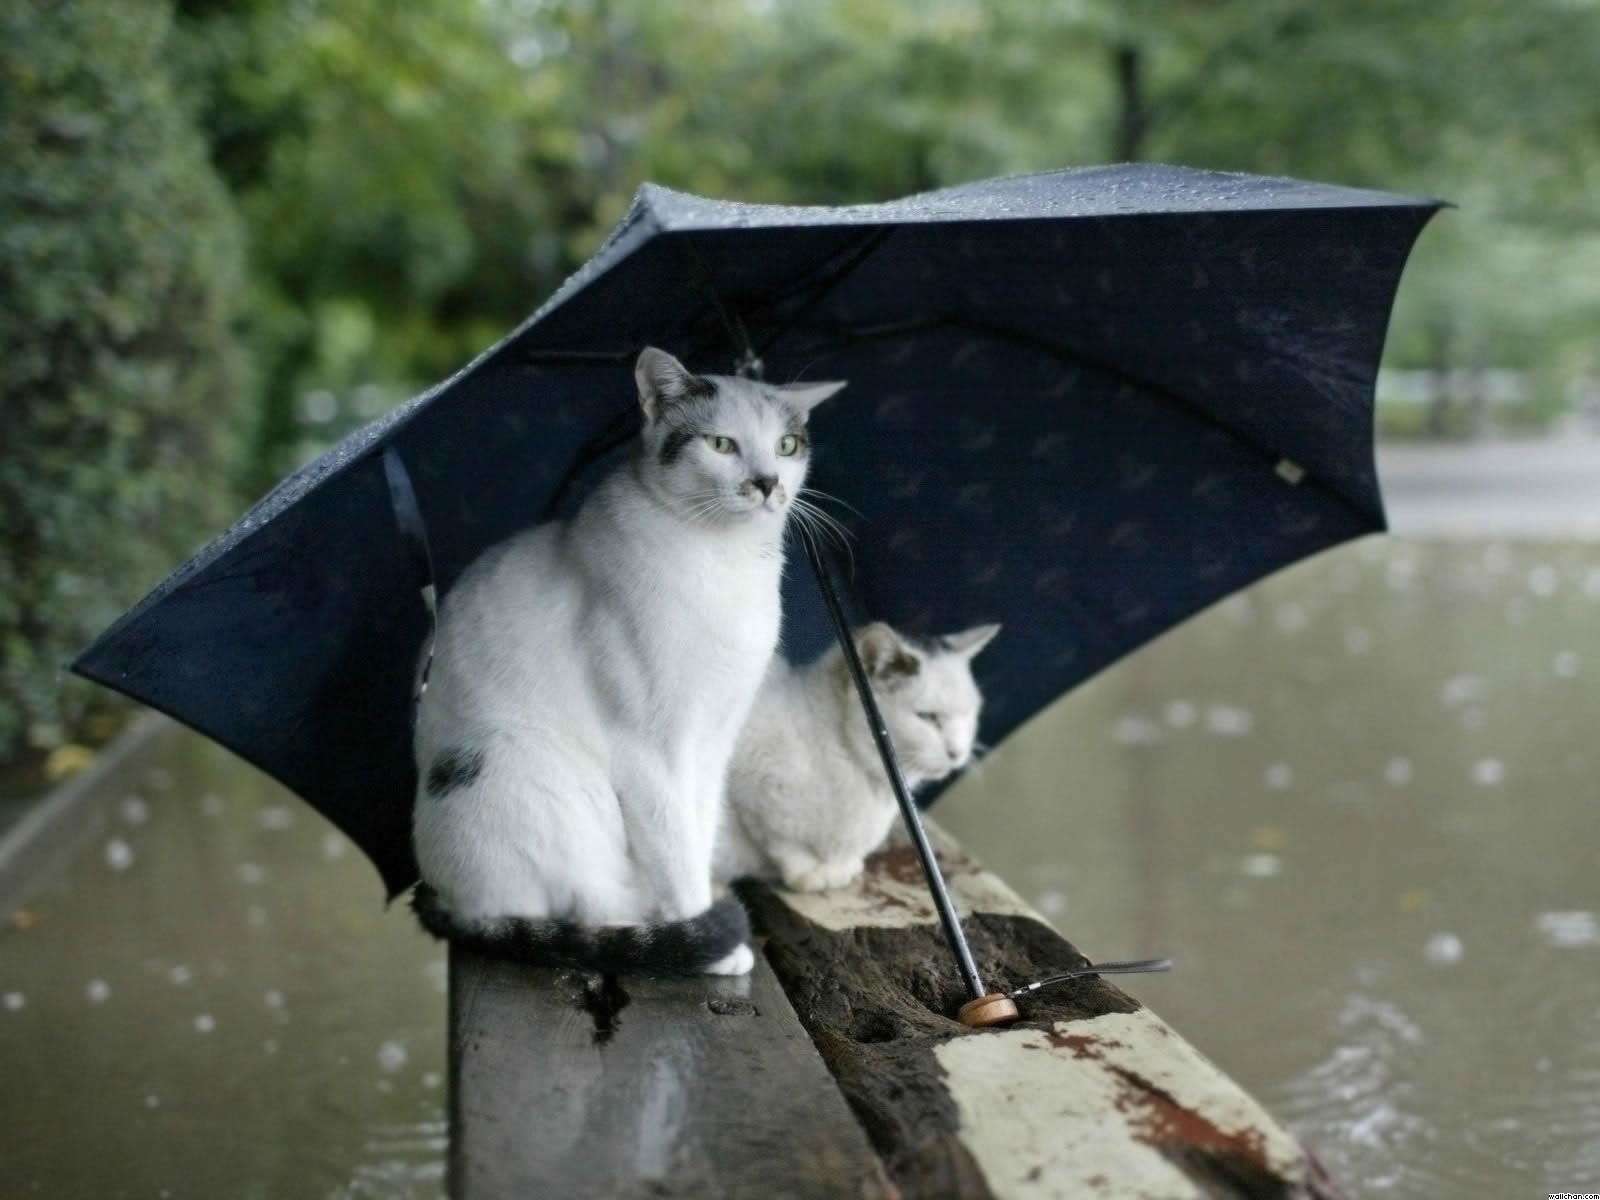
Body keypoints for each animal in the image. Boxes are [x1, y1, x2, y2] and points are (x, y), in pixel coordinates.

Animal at [406, 347, 844, 979]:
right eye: (721, 444)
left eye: (786, 446)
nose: (767, 483)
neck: (726, 560)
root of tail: (448, 897)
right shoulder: (648, 751)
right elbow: (674, 849)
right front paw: (708, 935)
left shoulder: (714, 741)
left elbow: (697, 831)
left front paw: (702, 906)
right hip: (538, 776)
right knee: (587, 907)